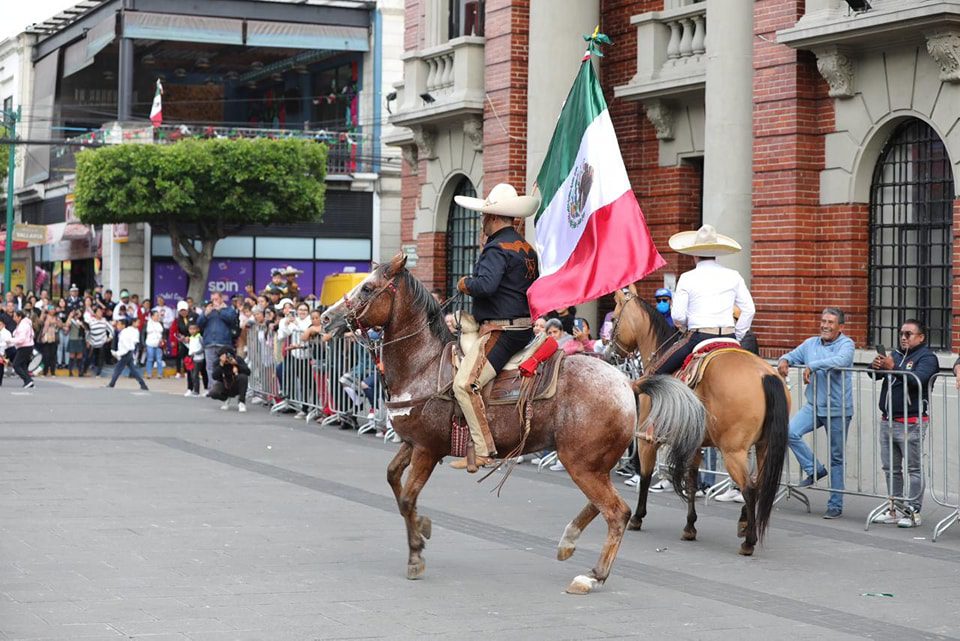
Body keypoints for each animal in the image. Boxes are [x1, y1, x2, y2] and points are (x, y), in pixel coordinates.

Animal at [322, 252, 704, 592]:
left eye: (368, 288)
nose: (326, 319)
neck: (423, 364)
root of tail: (627, 382)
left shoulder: (427, 449)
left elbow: (406, 497)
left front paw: (416, 554)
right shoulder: (410, 442)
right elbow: (393, 481)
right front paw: (424, 527)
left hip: (581, 463)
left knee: (616, 511)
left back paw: (593, 576)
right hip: (593, 463)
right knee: (602, 506)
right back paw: (569, 541)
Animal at [608, 284, 788, 556]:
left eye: (614, 318)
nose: (611, 353)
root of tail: (765, 374)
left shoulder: (647, 439)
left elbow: (647, 475)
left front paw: (638, 517)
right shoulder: (695, 444)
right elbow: (692, 481)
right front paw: (690, 526)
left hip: (732, 450)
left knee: (748, 487)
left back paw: (749, 541)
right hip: (763, 446)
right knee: (759, 483)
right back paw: (744, 525)